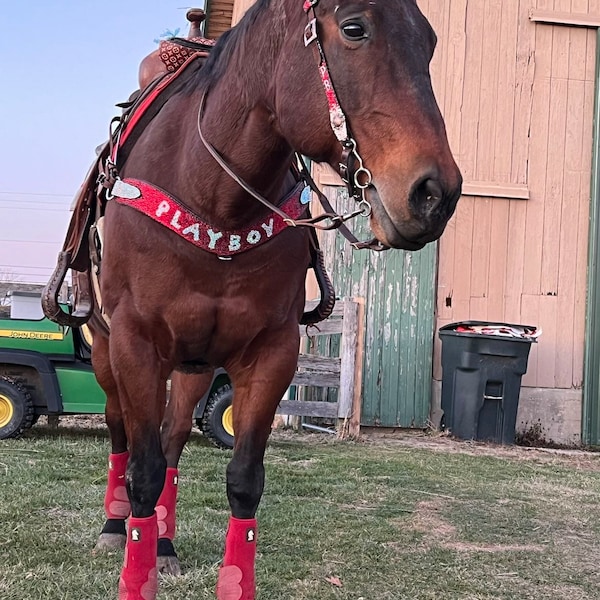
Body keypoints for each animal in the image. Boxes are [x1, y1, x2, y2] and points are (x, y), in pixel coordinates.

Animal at [48, 2, 464, 596]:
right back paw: (113, 525)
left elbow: (243, 479)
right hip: (108, 354)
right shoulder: (136, 346)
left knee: (174, 439)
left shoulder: (271, 354)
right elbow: (142, 471)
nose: (436, 194)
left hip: (195, 364)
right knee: (120, 432)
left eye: (429, 43)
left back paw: (166, 544)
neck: (214, 199)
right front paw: (134, 569)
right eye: (354, 28)